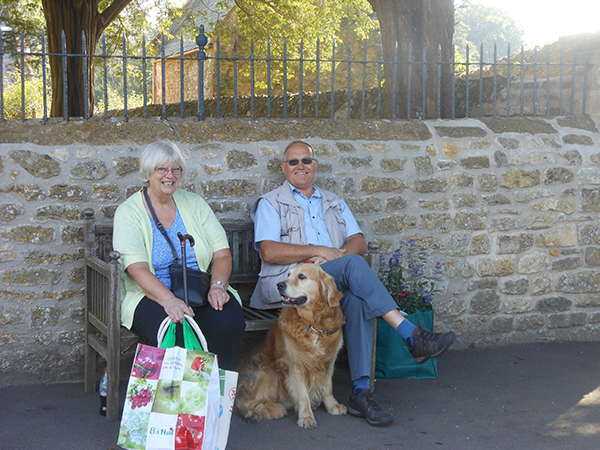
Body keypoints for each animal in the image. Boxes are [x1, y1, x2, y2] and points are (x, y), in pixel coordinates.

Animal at [234, 264, 346, 428]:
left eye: (302, 276)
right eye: (288, 275)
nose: (279, 285)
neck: (313, 325)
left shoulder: (328, 362)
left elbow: (328, 387)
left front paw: (332, 406)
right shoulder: (295, 365)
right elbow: (303, 394)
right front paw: (306, 417)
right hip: (267, 373)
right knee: (242, 403)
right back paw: (256, 413)